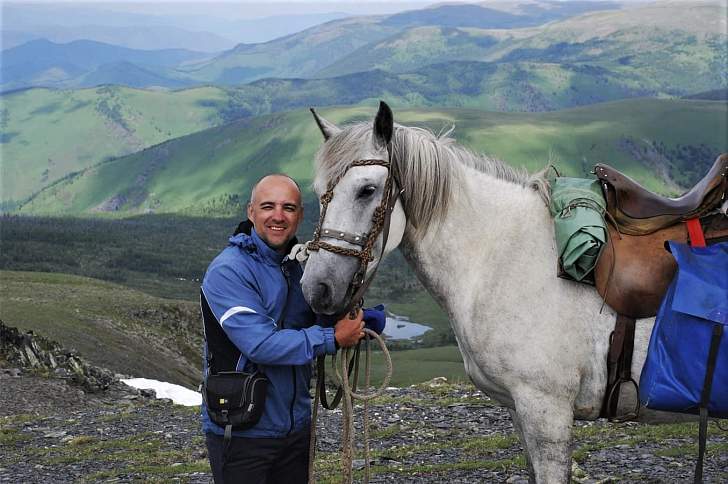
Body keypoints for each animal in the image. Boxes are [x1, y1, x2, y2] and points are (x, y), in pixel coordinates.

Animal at [302, 101, 672, 480]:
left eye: (367, 190)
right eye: (318, 193)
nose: (316, 287)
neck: (500, 255)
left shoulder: (547, 408)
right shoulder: (518, 408)